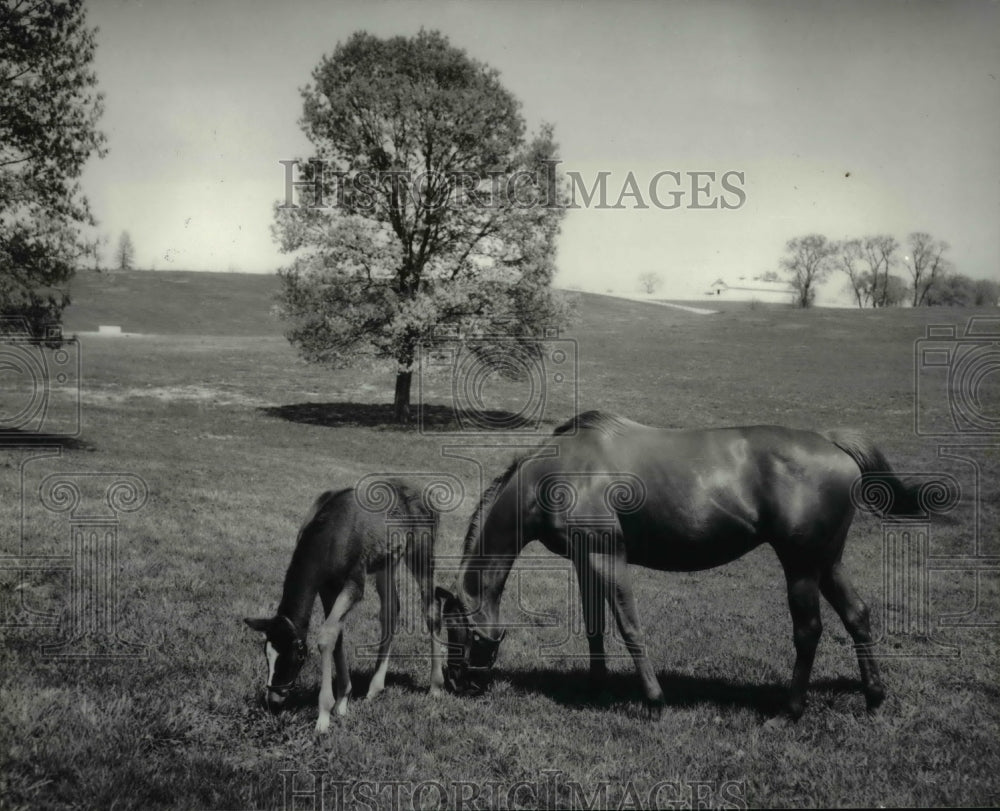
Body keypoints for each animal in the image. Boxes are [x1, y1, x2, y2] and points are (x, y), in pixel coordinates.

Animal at [244, 478, 444, 732]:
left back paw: (435, 686)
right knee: (391, 610)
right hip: (387, 562)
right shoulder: (327, 587)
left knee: (431, 608)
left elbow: (326, 636)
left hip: (421, 553)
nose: (274, 699)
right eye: (266, 654)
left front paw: (324, 714)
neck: (329, 536)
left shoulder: (354, 583)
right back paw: (375, 687)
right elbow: (336, 635)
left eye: (296, 655)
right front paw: (342, 701)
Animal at [442, 412, 924, 716]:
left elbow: (629, 626)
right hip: (828, 562)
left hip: (802, 565)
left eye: (452, 629)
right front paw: (596, 688)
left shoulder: (608, 557)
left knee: (809, 631)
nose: (454, 683)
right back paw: (874, 696)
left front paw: (654, 701)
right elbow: (595, 627)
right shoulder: (586, 559)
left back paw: (789, 711)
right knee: (857, 615)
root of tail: (830, 441)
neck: (556, 476)